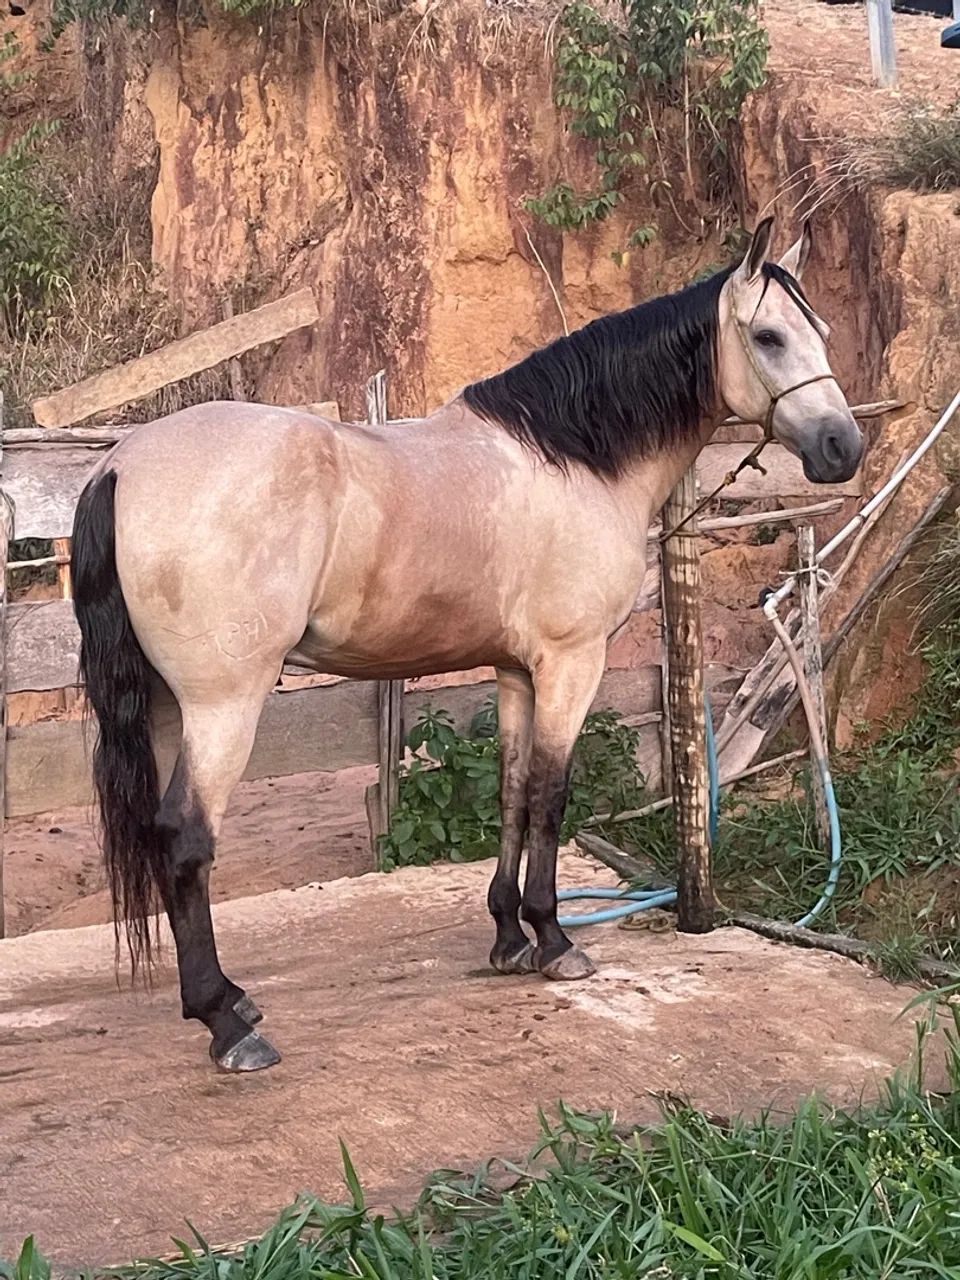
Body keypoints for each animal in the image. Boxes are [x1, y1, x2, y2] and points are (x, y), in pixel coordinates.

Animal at [71, 217, 862, 1073]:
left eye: (819, 332)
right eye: (769, 336)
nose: (842, 448)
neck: (572, 459)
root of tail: (121, 463)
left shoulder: (517, 670)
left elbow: (513, 794)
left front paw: (509, 938)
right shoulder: (571, 663)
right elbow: (551, 795)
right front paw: (555, 941)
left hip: (163, 706)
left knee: (158, 836)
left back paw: (231, 1001)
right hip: (223, 706)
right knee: (186, 840)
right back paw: (228, 1024)